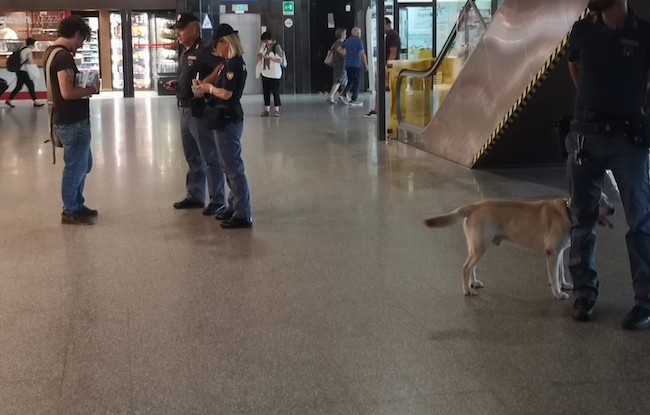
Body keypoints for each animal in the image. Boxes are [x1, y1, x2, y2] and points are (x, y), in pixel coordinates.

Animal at [426, 197, 612, 300]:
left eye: (606, 198)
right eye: (599, 200)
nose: (613, 209)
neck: (568, 212)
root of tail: (473, 206)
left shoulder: (559, 252)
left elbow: (560, 272)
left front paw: (564, 284)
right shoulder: (552, 252)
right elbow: (554, 276)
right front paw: (558, 293)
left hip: (477, 246)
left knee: (472, 267)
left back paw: (473, 283)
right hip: (480, 246)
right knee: (465, 267)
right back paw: (466, 290)